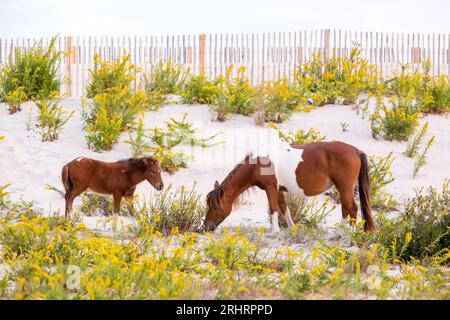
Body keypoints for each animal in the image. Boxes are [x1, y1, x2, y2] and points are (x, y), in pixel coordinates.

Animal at [205, 141, 376, 234]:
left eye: (214, 207)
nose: (206, 227)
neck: (258, 163)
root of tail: (356, 151)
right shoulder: (279, 191)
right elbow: (284, 209)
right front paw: (292, 229)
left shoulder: (270, 188)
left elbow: (273, 210)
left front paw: (275, 231)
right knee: (345, 209)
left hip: (344, 188)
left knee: (352, 208)